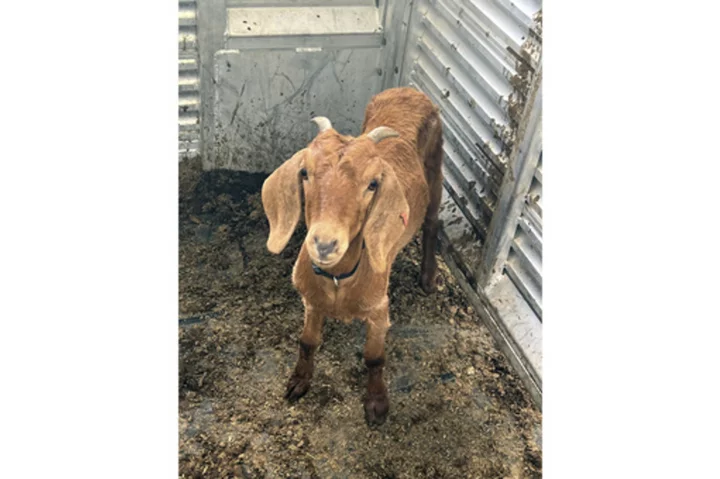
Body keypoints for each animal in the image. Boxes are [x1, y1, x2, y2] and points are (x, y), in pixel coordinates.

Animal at [262, 88, 442, 426]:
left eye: (372, 184)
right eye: (304, 172)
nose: (325, 243)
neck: (338, 280)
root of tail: (408, 89)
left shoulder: (379, 309)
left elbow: (374, 358)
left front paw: (377, 404)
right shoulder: (311, 301)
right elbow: (307, 342)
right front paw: (298, 381)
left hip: (437, 165)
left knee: (432, 223)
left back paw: (428, 278)